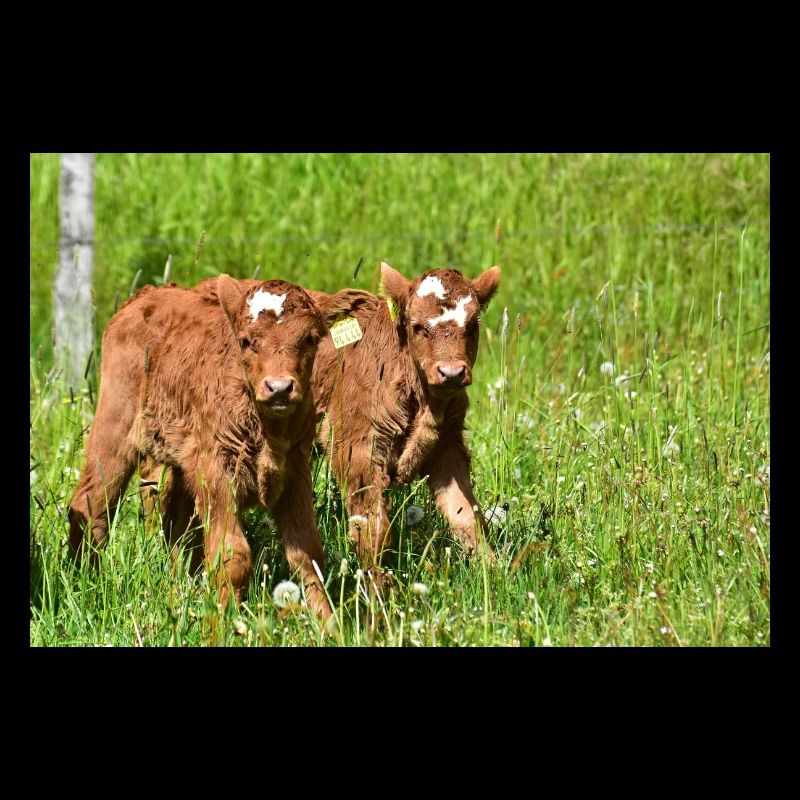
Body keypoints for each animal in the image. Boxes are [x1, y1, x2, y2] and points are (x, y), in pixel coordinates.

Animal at [68, 275, 343, 620]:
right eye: (246, 341)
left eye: (309, 339)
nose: (279, 388)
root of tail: (146, 295)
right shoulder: (215, 470)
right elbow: (233, 556)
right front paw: (224, 622)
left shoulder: (295, 471)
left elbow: (308, 555)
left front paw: (329, 623)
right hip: (114, 428)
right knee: (93, 503)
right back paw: (82, 583)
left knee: (176, 523)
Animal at [309, 261, 501, 571]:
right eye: (417, 326)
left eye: (472, 326)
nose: (451, 372)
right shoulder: (356, 446)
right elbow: (373, 529)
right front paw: (375, 583)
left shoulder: (448, 446)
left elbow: (466, 516)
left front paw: (492, 571)